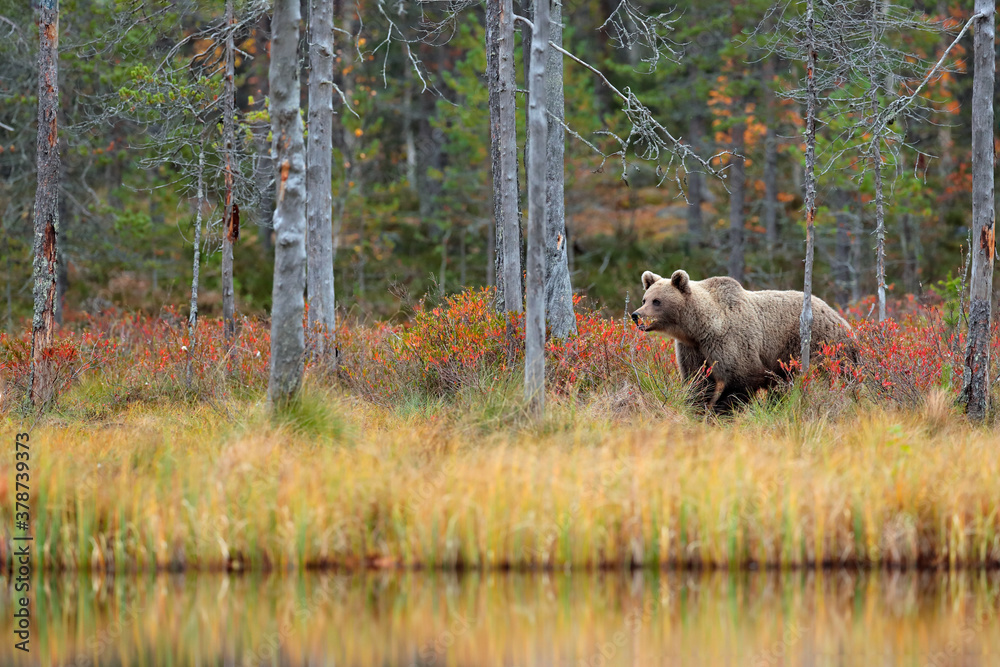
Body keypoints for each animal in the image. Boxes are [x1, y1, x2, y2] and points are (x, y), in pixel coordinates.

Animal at [632, 268, 852, 410]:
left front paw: (719, 412)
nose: (636, 315)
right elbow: (699, 381)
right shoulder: (693, 348)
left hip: (822, 347)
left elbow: (743, 379)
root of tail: (838, 316)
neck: (700, 327)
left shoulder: (731, 341)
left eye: (657, 301)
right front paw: (695, 408)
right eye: (645, 299)